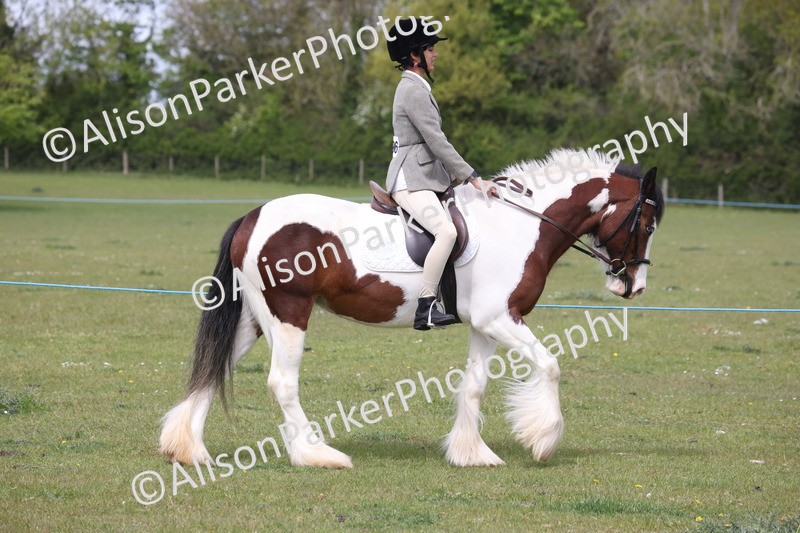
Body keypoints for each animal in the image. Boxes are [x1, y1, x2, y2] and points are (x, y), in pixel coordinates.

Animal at [159, 148, 665, 468]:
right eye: (646, 222)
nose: (634, 286)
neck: (520, 225)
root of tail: (253, 216)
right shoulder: (502, 320)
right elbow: (551, 366)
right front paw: (541, 441)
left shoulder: (485, 325)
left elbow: (474, 386)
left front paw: (471, 453)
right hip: (288, 316)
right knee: (282, 383)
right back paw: (318, 456)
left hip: (254, 319)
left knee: (216, 366)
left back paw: (188, 450)